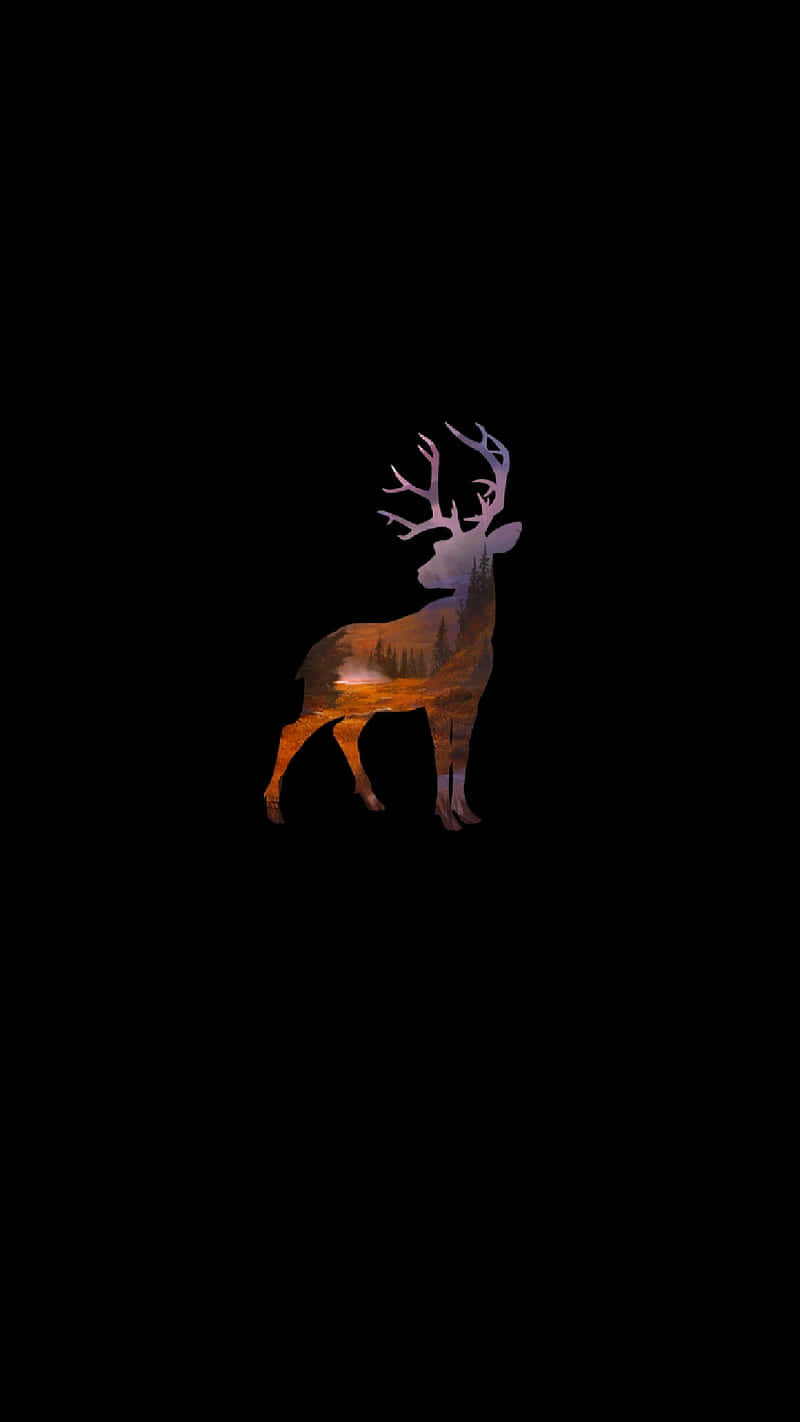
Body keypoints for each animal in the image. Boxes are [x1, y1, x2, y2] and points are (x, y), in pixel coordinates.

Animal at [265, 421, 521, 831]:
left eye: (459, 549)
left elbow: (463, 756)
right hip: (322, 695)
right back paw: (274, 807)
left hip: (362, 702)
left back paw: (373, 800)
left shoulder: (473, 696)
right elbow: (441, 756)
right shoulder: (435, 695)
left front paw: (468, 813)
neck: (470, 642)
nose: (420, 573)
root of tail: (307, 659)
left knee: (344, 731)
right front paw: (446, 817)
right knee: (291, 730)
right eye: (437, 547)